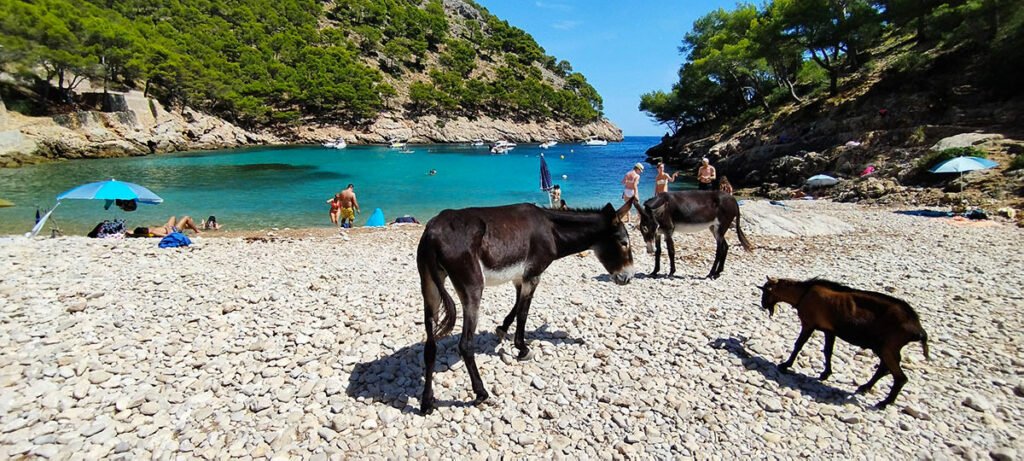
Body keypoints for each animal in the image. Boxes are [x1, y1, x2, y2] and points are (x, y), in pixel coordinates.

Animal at [761, 276, 929, 407]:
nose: (763, 305)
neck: (803, 293)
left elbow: (799, 345)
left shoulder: (809, 324)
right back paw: (865, 387)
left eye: (765, 292)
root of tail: (917, 328)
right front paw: (825, 373)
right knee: (884, 368)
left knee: (900, 377)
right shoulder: (829, 330)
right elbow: (828, 351)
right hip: (886, 348)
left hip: (887, 347)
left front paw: (785, 365)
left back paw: (884, 402)